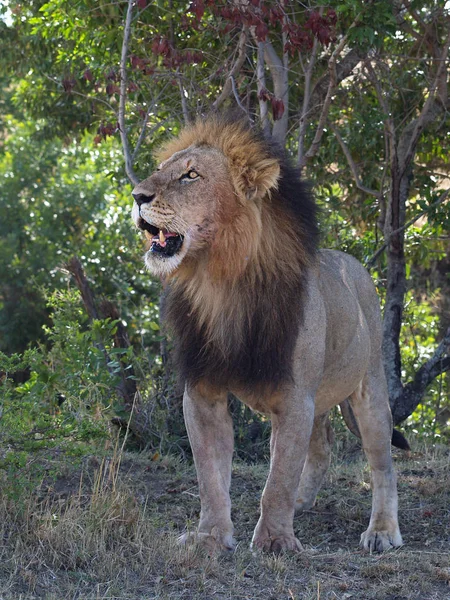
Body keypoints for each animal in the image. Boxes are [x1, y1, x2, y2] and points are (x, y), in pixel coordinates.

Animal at [132, 115, 402, 556]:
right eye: (162, 169)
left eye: (191, 175)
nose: (137, 195)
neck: (221, 284)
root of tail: (352, 261)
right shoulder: (203, 392)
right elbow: (210, 477)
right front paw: (210, 536)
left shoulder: (293, 398)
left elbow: (277, 479)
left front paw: (275, 540)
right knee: (322, 447)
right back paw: (303, 502)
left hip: (370, 389)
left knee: (382, 465)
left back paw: (381, 531)